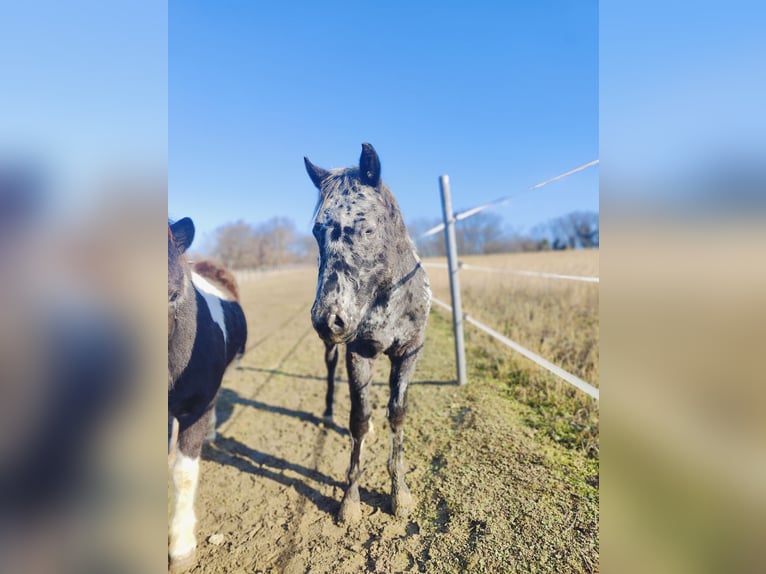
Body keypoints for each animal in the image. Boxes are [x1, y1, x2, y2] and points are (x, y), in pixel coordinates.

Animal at [304, 143, 432, 520]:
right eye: (317, 232)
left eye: (369, 231)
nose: (328, 319)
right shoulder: (357, 352)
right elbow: (358, 419)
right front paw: (350, 502)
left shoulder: (409, 352)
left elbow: (397, 413)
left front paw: (400, 495)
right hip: (336, 350)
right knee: (332, 373)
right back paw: (328, 413)